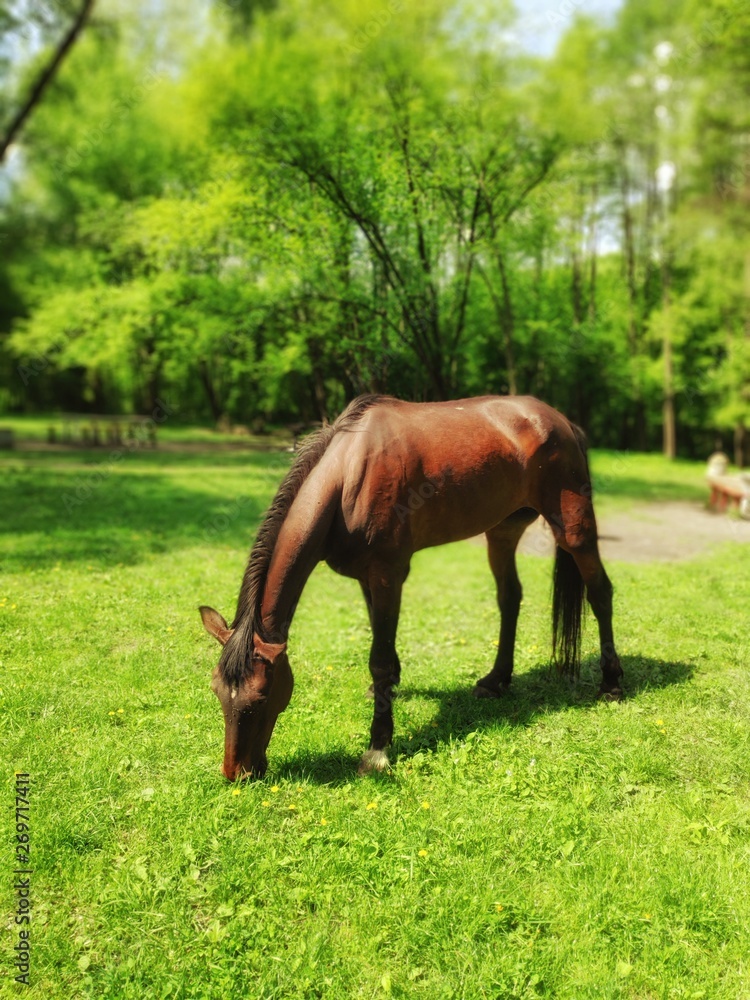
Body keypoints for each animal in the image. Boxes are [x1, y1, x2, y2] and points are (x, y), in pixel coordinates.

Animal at [198, 392, 624, 780]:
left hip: (573, 529)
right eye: (217, 692)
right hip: (502, 531)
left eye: (262, 696)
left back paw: (611, 684)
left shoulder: (388, 574)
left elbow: (379, 658)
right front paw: (385, 694)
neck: (349, 477)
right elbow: (380, 642)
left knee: (600, 592)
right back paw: (496, 680)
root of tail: (562, 422)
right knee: (510, 598)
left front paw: (378, 747)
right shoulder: (365, 577)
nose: (236, 773)